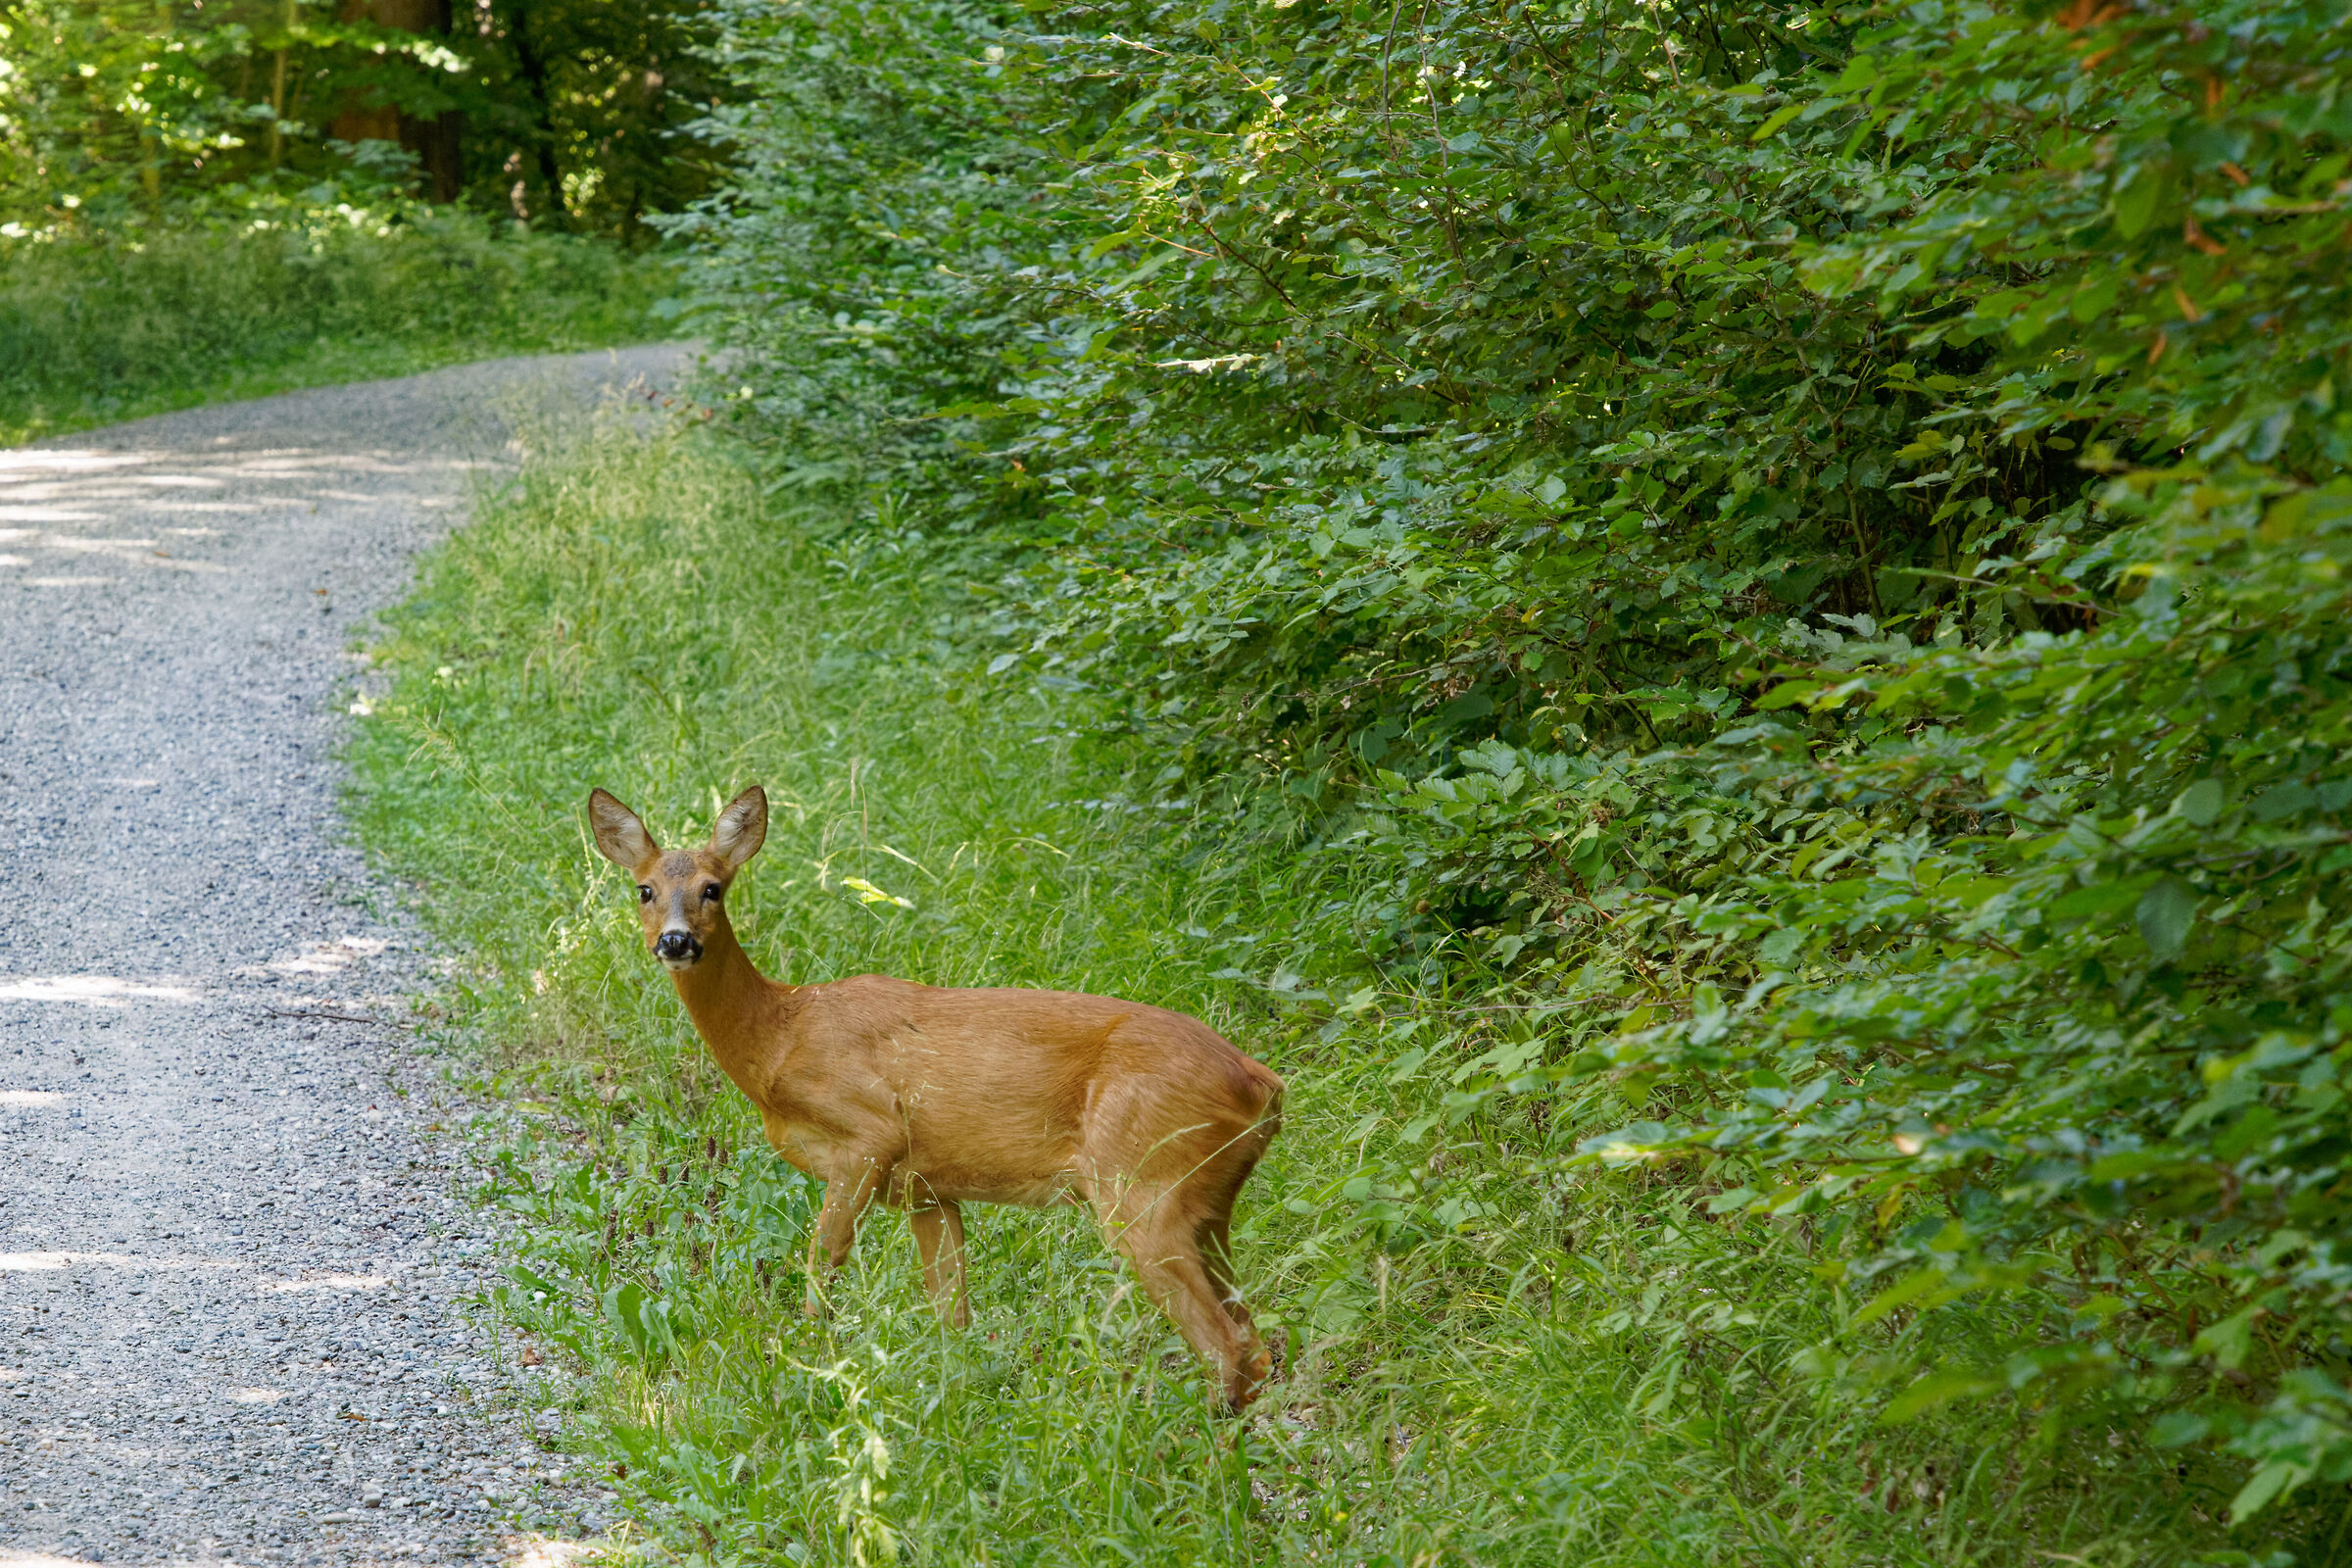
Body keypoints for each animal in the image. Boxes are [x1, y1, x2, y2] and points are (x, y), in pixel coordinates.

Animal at [587, 784, 1286, 1410]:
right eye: (644, 889)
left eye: (714, 887)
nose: (676, 941)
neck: (781, 1039)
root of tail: (1260, 1082)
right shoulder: (929, 1185)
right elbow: (951, 1311)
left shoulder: (871, 1133)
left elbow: (823, 1260)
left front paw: (808, 1365)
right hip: (1205, 1204)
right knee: (1255, 1342)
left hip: (1140, 1182)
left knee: (1231, 1347)